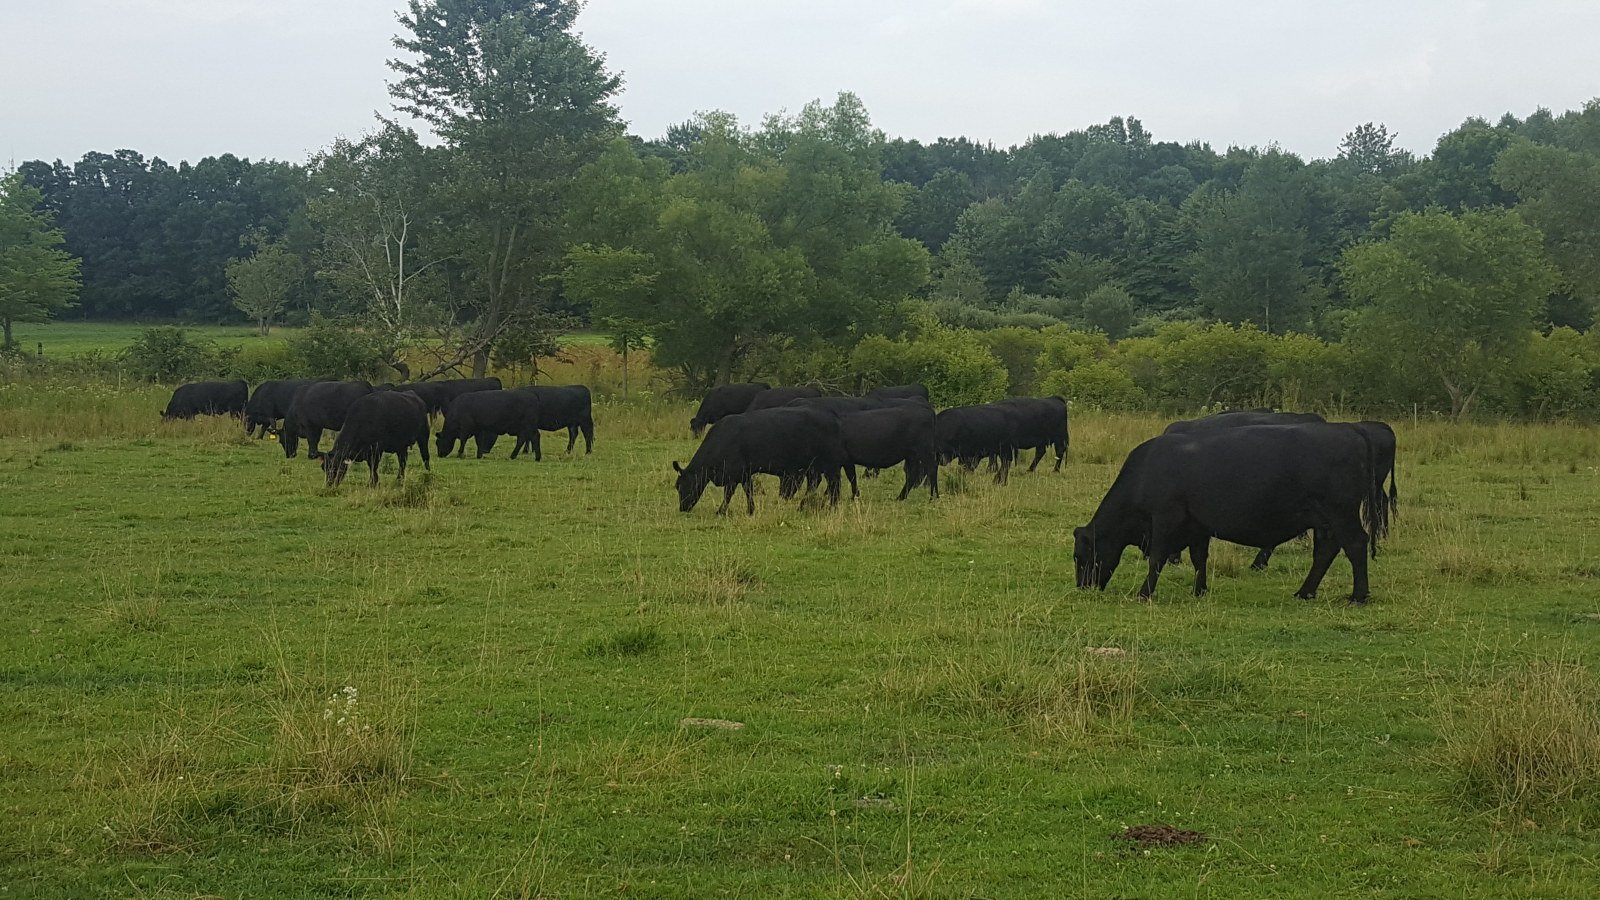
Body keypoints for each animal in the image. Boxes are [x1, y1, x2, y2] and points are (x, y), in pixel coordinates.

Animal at [675, 405, 851, 512]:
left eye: (681, 486)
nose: (682, 508)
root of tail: (831, 417)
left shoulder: (734, 472)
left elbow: (729, 493)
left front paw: (721, 511)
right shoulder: (744, 473)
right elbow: (748, 491)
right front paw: (750, 509)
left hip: (828, 464)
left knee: (833, 483)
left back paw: (832, 505)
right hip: (814, 466)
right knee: (816, 482)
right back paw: (804, 505)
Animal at [1075, 419, 1388, 602]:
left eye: (1081, 556)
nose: (1083, 586)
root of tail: (1348, 428)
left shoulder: (1164, 519)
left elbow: (1157, 559)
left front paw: (1144, 593)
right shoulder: (1197, 526)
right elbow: (1199, 559)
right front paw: (1199, 591)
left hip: (1341, 513)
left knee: (1355, 545)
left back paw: (1358, 596)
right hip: (1325, 521)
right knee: (1326, 551)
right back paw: (1305, 592)